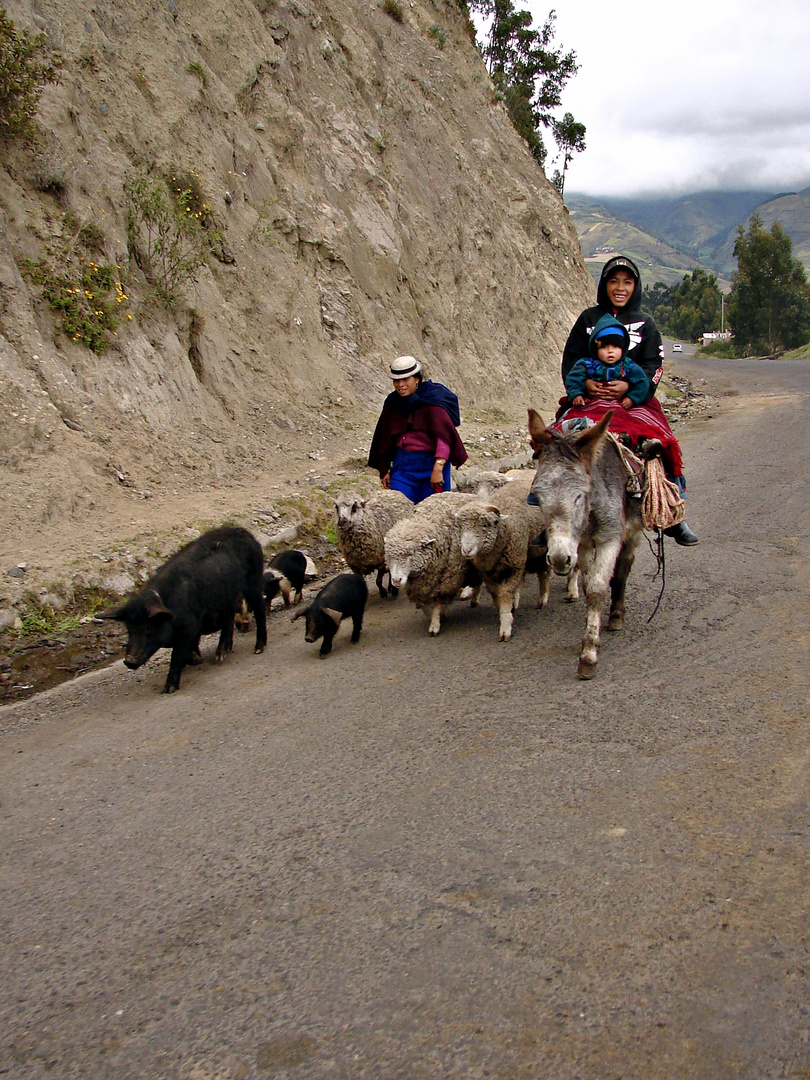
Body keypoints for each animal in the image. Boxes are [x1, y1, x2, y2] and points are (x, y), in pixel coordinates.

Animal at [103, 527, 267, 695]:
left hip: (252, 581)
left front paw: (169, 689)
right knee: (229, 618)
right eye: (129, 629)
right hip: (227, 597)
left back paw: (257, 648)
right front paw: (197, 659)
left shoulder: (189, 627)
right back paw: (222, 654)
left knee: (259, 608)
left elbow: (176, 656)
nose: (129, 660)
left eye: (148, 628)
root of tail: (245, 532)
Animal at [382, 494, 479, 635]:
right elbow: (424, 605)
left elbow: (438, 603)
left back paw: (470, 595)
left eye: (410, 554)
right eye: (389, 556)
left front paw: (436, 623)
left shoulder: (445, 578)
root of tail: (471, 495)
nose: (396, 580)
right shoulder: (417, 586)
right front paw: (435, 614)